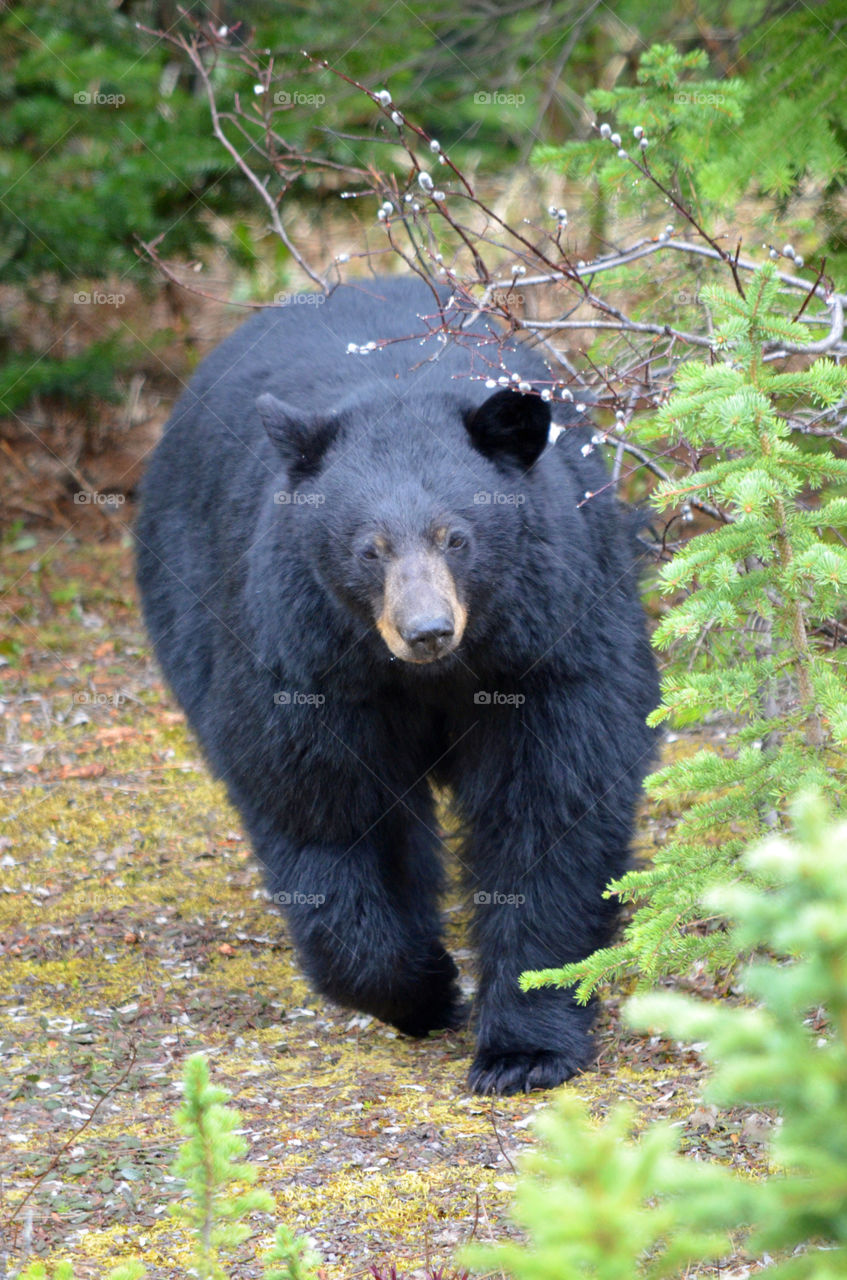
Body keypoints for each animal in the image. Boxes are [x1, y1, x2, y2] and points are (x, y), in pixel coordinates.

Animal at [135, 275, 659, 1095]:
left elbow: (552, 803)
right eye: (369, 549)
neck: (438, 676)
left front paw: (522, 1048)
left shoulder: (552, 641)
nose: (426, 630)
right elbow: (323, 810)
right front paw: (423, 989)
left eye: (457, 537)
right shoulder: (308, 661)